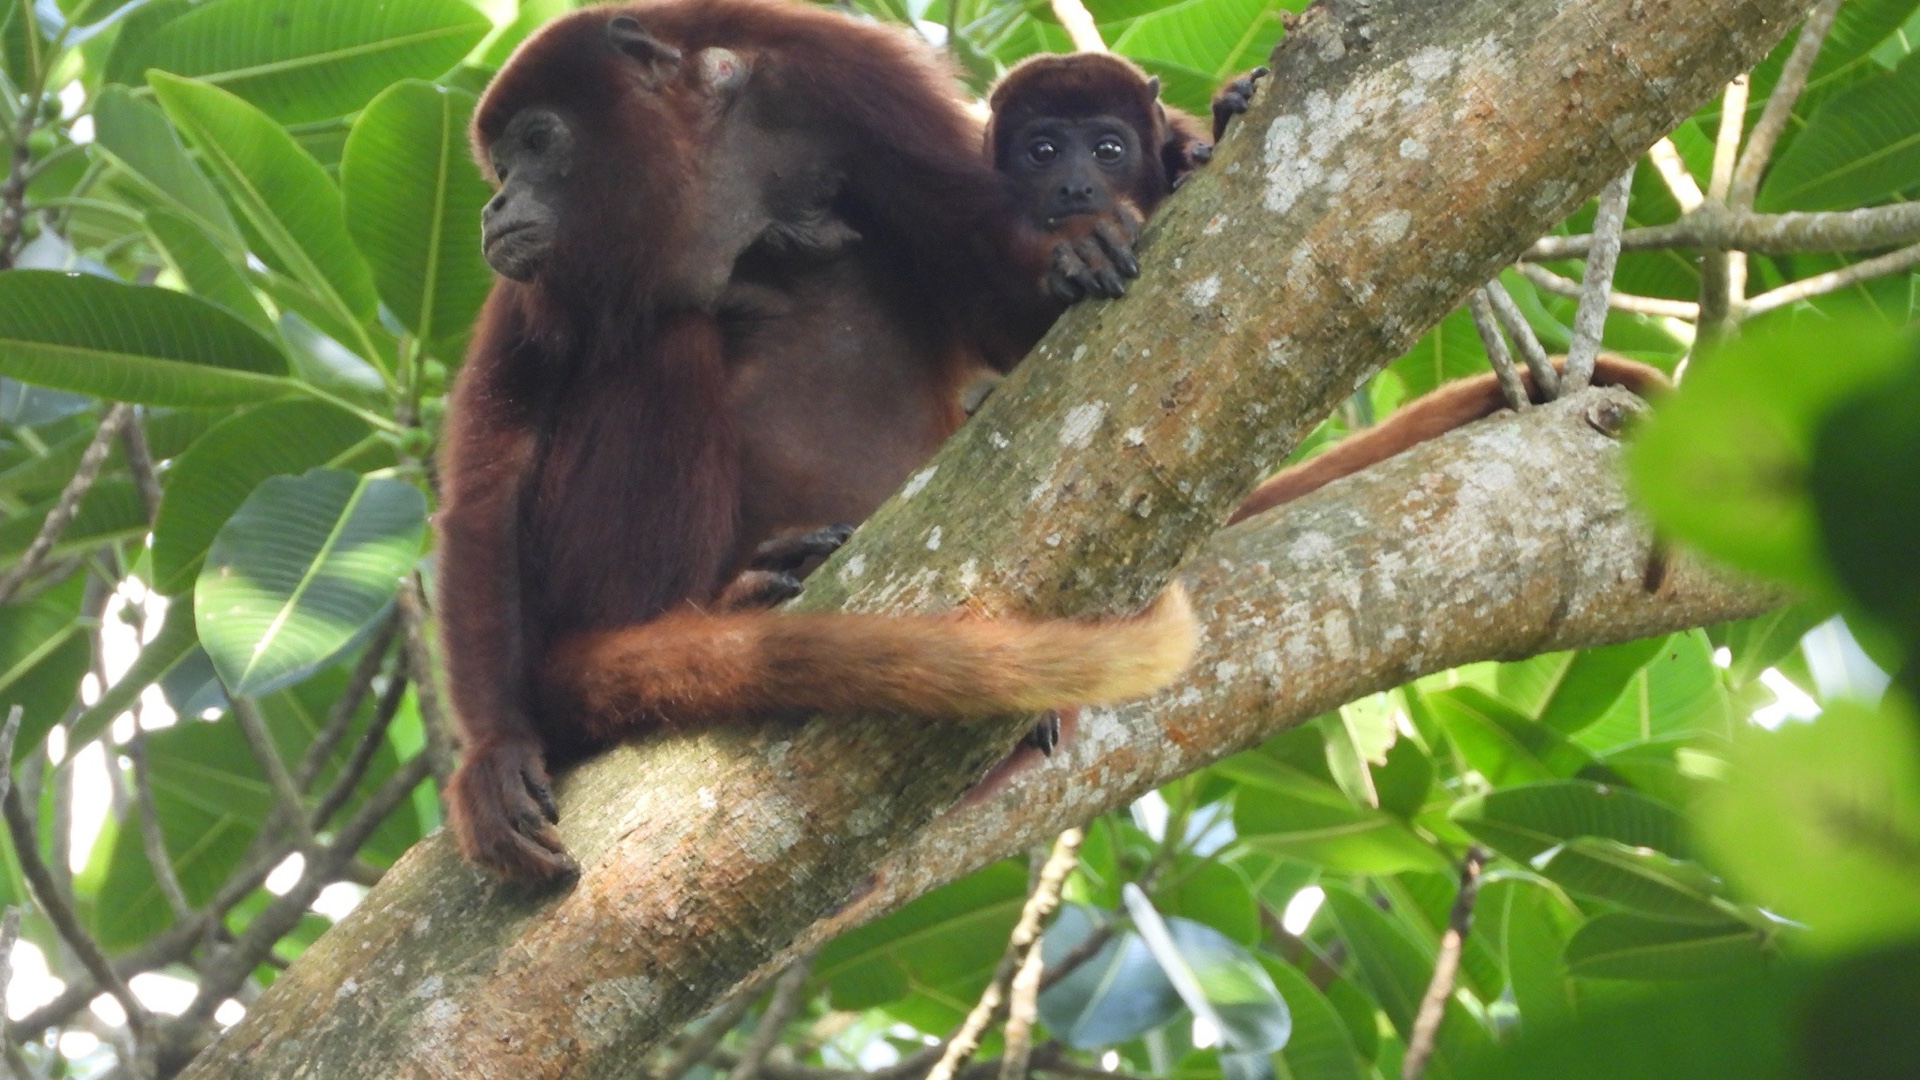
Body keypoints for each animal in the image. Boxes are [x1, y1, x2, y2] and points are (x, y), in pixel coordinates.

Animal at [441, 1, 1197, 881]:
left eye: (537, 143)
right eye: (499, 166)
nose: (494, 207)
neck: (703, 162)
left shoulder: (851, 85)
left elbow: (994, 294)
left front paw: (1096, 228)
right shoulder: (542, 275)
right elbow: (495, 466)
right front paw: (495, 750)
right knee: (669, 332)